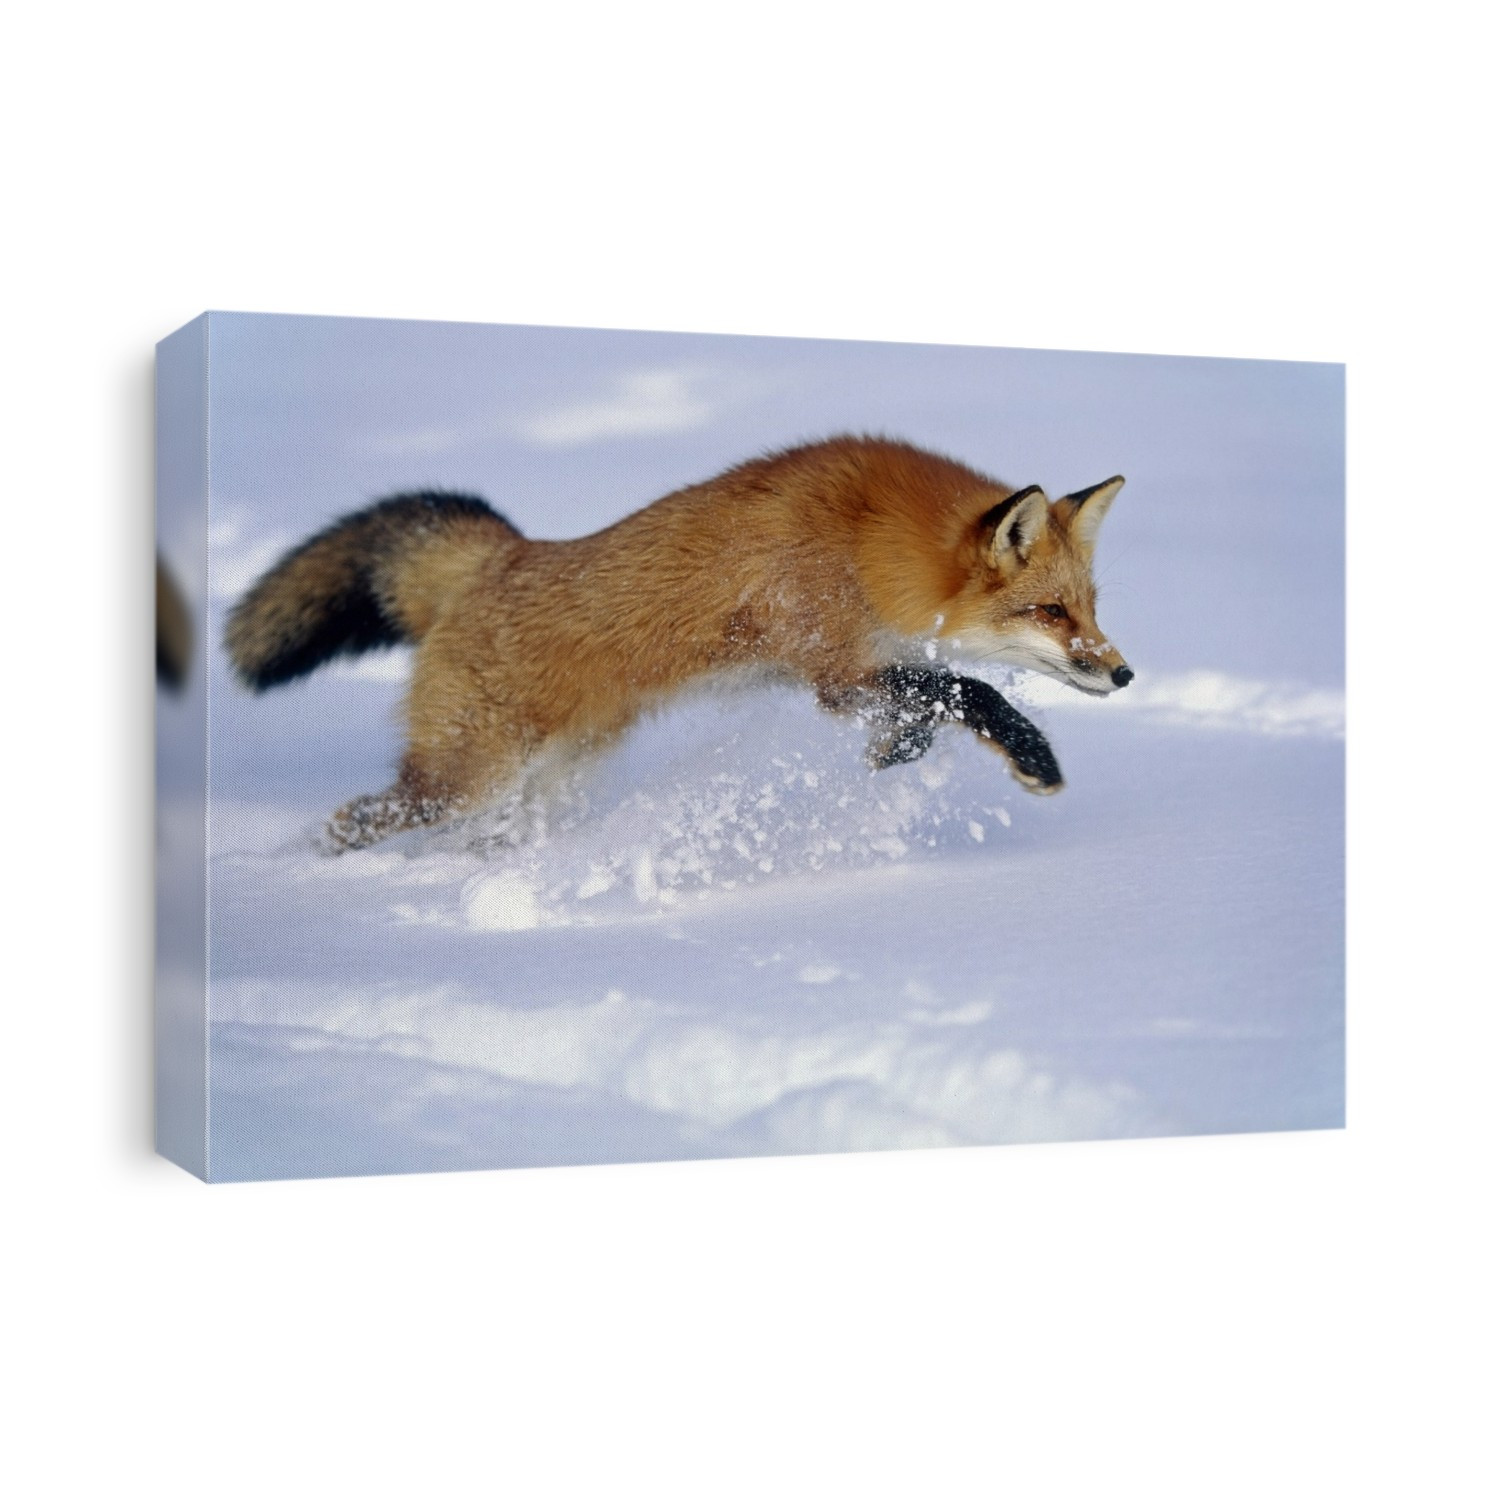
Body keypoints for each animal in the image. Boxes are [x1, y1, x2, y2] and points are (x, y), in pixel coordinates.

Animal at [225, 436, 1132, 850]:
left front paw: (895, 751)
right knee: (352, 819)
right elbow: (969, 690)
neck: (863, 541)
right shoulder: (833, 665)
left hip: (548, 781)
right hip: (462, 781)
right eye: (1052, 612)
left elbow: (932, 701)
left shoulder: (857, 667)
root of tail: (503, 554)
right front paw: (1034, 758)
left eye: (1089, 608)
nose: (1124, 674)